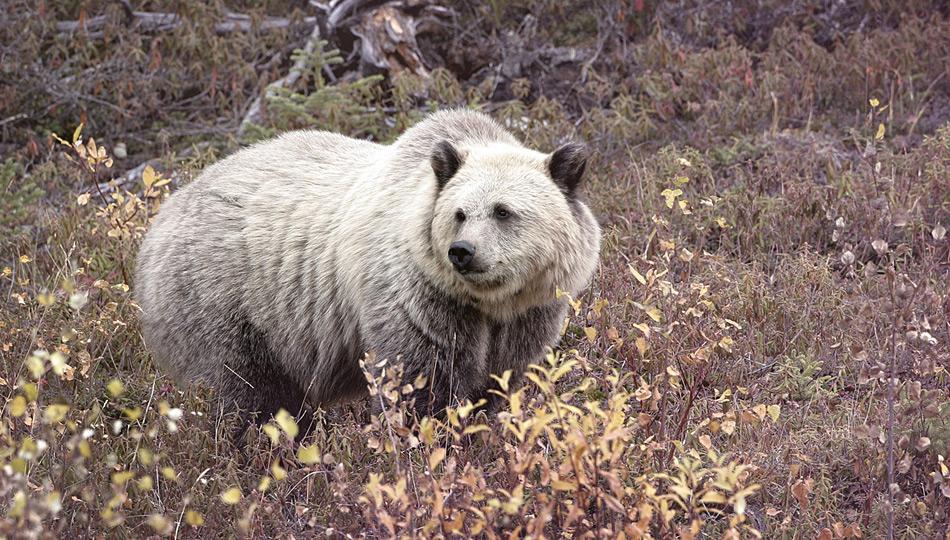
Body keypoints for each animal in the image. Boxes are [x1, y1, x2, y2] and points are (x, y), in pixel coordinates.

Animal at [134, 108, 600, 430]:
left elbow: (497, 382)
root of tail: (160, 220)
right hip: (224, 300)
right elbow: (419, 383)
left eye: (503, 211)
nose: (462, 252)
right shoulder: (418, 299)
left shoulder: (528, 315)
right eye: (460, 213)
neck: (490, 303)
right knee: (246, 391)